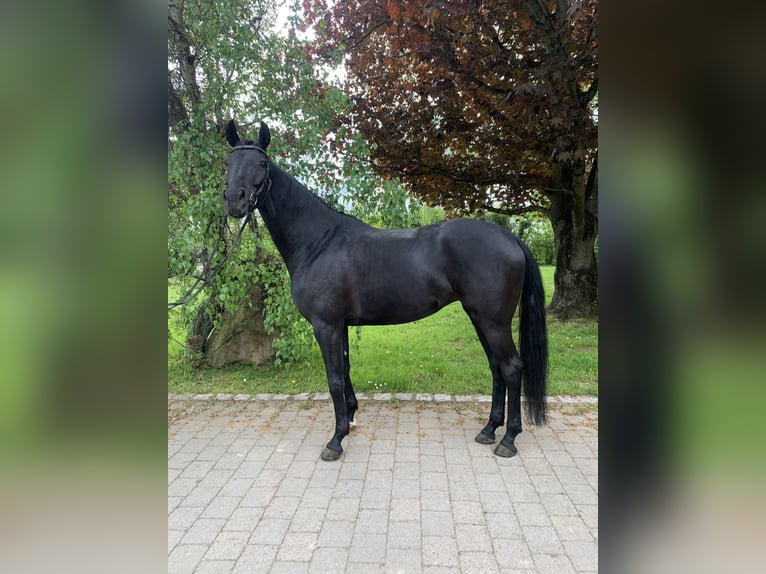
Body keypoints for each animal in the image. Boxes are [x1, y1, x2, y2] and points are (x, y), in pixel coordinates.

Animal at [222, 119, 548, 462]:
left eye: (261, 164)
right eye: (228, 162)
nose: (234, 201)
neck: (318, 241)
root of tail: (511, 238)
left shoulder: (326, 325)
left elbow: (334, 379)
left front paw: (335, 440)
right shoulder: (340, 325)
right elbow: (346, 371)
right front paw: (350, 417)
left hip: (493, 321)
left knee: (511, 368)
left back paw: (508, 438)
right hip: (479, 317)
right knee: (497, 367)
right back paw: (489, 430)